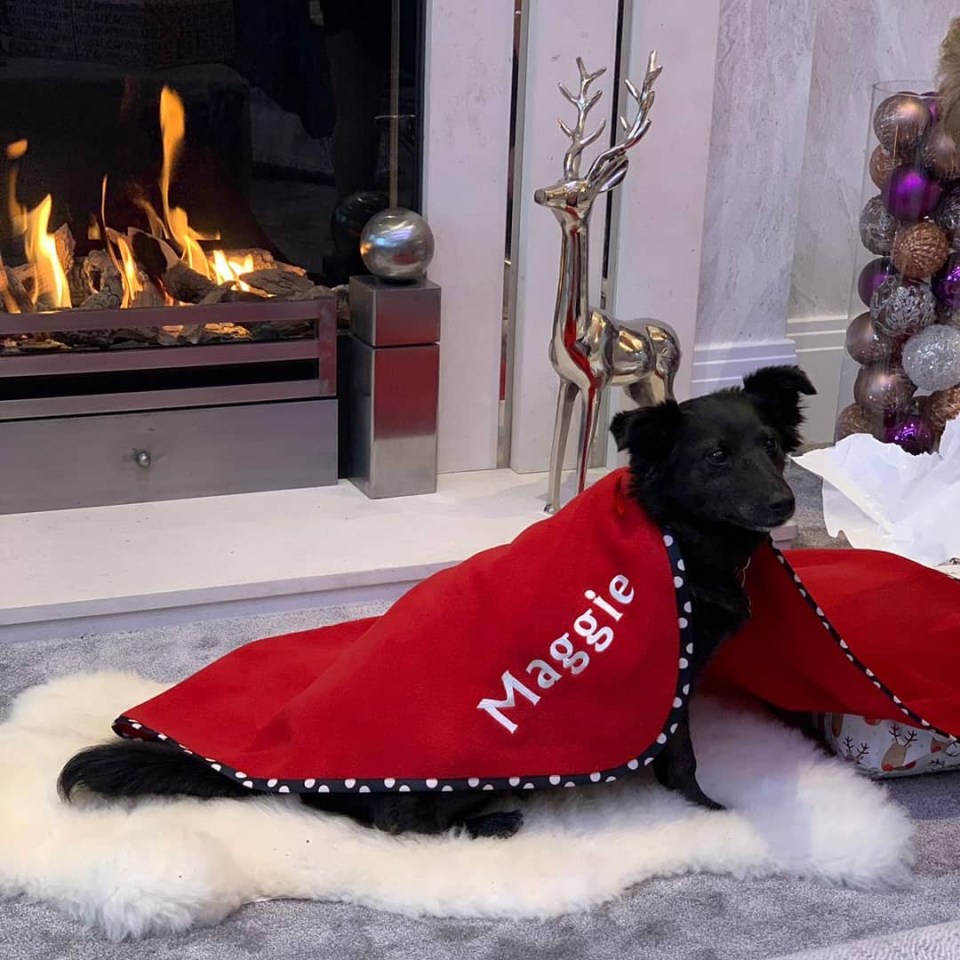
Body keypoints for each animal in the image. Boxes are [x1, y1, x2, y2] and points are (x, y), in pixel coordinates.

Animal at [58, 368, 808, 832]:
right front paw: (707, 811)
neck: (674, 532)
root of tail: (279, 777)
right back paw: (491, 822)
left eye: (772, 445)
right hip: (459, 782)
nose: (786, 502)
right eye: (715, 457)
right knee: (398, 821)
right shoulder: (672, 682)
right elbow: (682, 758)